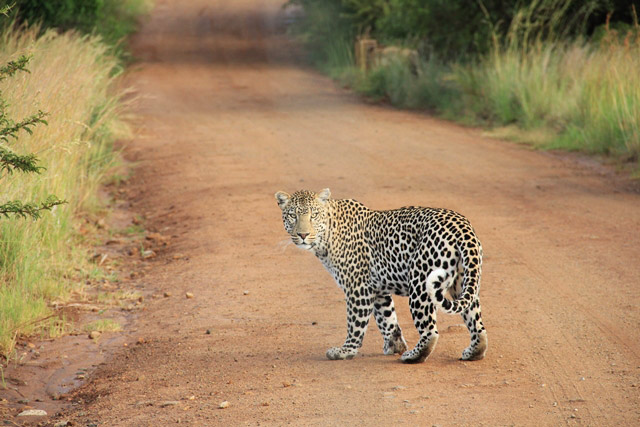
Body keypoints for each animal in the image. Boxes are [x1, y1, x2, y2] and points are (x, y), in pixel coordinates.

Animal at [272, 188, 488, 364]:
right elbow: (387, 319)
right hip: (463, 282)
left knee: (430, 331)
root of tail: (462, 227)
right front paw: (394, 345)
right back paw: (473, 352)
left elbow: (355, 323)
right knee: (476, 322)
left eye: (314, 215)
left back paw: (413, 356)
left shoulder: (357, 288)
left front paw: (345, 351)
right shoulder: (377, 290)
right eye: (292, 215)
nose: (302, 235)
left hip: (420, 283)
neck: (326, 237)